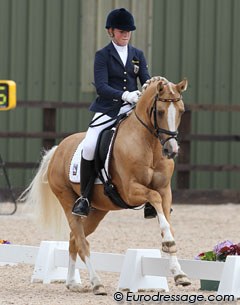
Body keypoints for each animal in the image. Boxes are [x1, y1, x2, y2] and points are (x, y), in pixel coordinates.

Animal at [21, 76, 189, 294]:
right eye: (160, 111)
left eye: (181, 111)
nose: (171, 149)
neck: (149, 145)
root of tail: (58, 149)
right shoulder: (130, 191)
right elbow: (154, 198)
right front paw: (168, 242)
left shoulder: (165, 191)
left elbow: (165, 218)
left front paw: (179, 273)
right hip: (67, 201)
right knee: (82, 242)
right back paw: (96, 283)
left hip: (97, 210)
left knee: (74, 240)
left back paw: (72, 282)